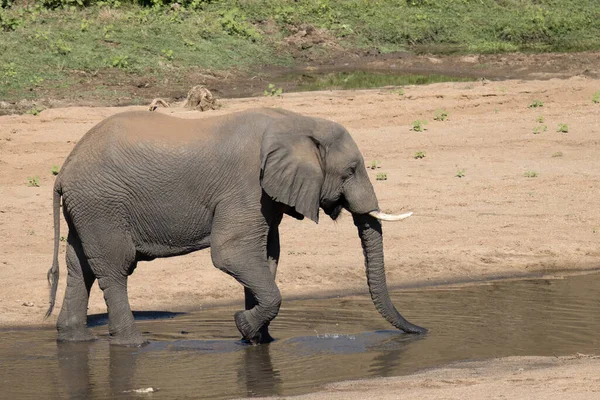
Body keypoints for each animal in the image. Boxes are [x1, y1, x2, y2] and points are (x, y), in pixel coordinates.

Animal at [45, 108, 426, 346]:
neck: (295, 122)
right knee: (115, 269)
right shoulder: (245, 187)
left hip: (88, 208)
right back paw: (134, 343)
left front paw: (258, 339)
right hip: (103, 205)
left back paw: (74, 338)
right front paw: (244, 327)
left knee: (79, 266)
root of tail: (63, 171)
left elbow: (266, 257)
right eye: (350, 171)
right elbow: (232, 254)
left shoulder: (265, 196)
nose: (422, 330)